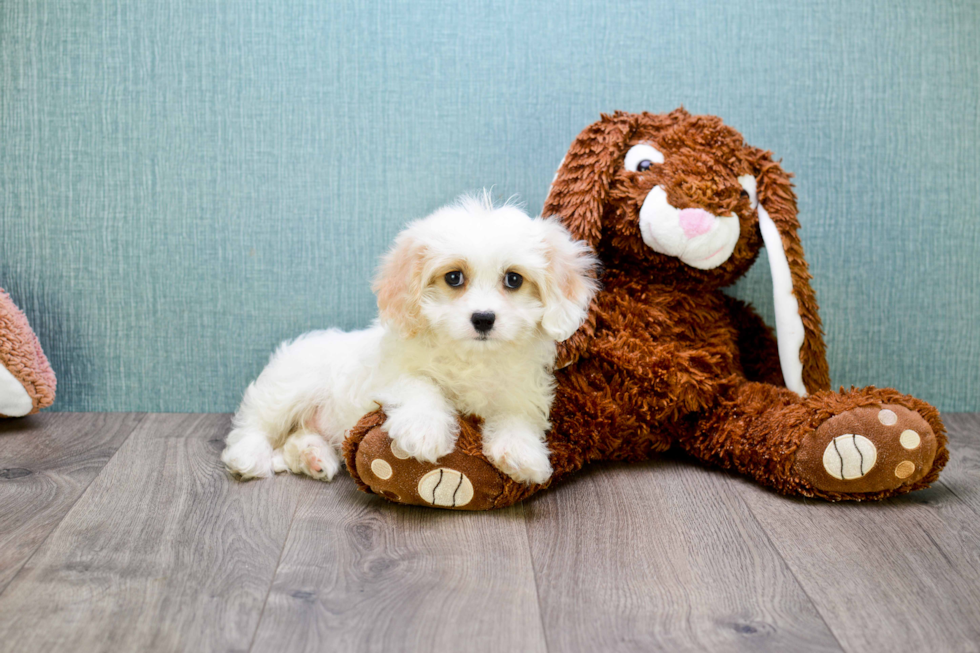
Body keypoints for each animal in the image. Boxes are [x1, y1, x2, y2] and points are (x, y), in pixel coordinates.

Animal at [221, 194, 596, 484]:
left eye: (514, 280)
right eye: (454, 277)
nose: (483, 318)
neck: (473, 358)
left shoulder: (521, 392)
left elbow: (517, 417)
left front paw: (523, 454)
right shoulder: (391, 373)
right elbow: (422, 385)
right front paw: (425, 431)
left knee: (295, 439)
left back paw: (314, 458)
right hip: (288, 388)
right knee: (255, 424)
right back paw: (247, 456)